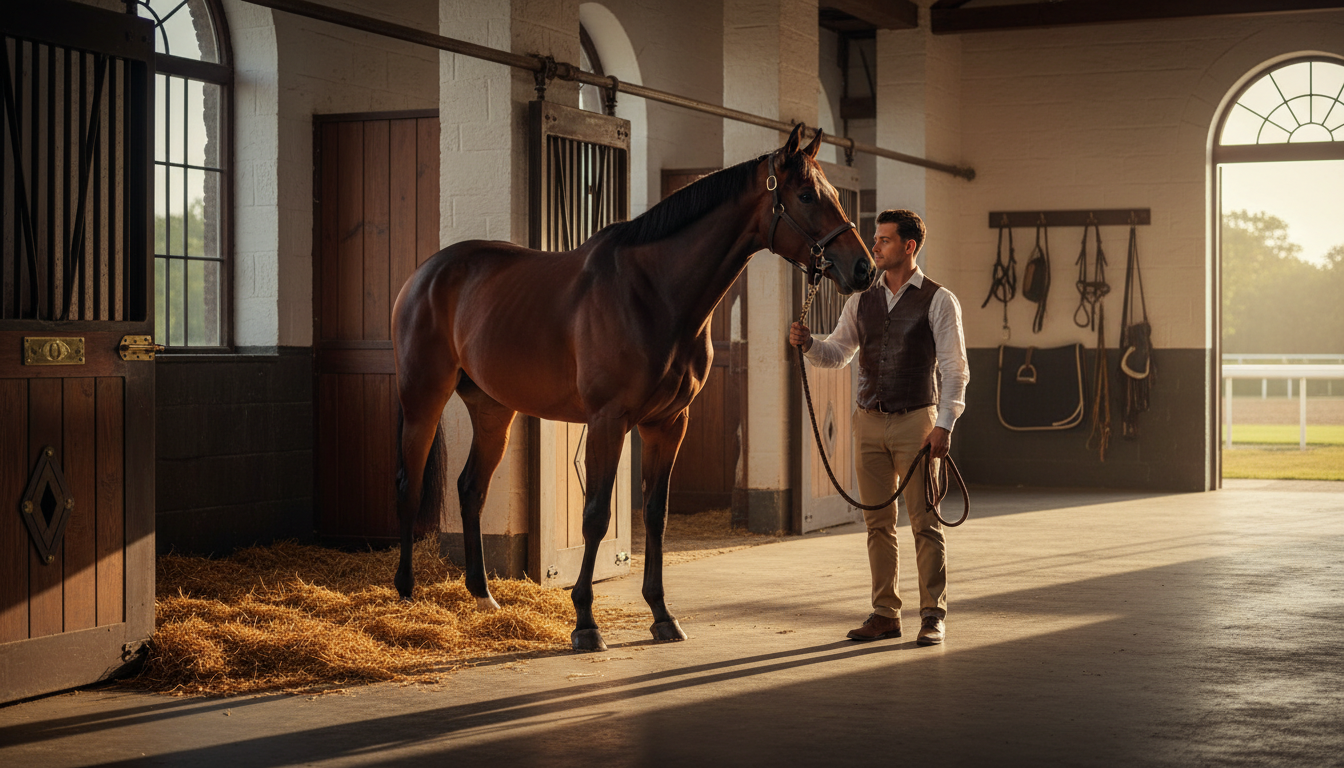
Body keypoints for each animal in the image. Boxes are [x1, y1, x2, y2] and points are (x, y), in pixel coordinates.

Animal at [391, 123, 876, 651]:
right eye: (806, 195)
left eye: (835, 195)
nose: (864, 269)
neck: (654, 292)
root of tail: (425, 274)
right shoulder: (609, 421)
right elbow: (596, 515)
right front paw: (585, 622)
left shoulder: (668, 423)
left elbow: (656, 516)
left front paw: (662, 615)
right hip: (422, 398)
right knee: (409, 484)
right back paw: (406, 594)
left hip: (493, 409)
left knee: (471, 489)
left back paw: (483, 597)